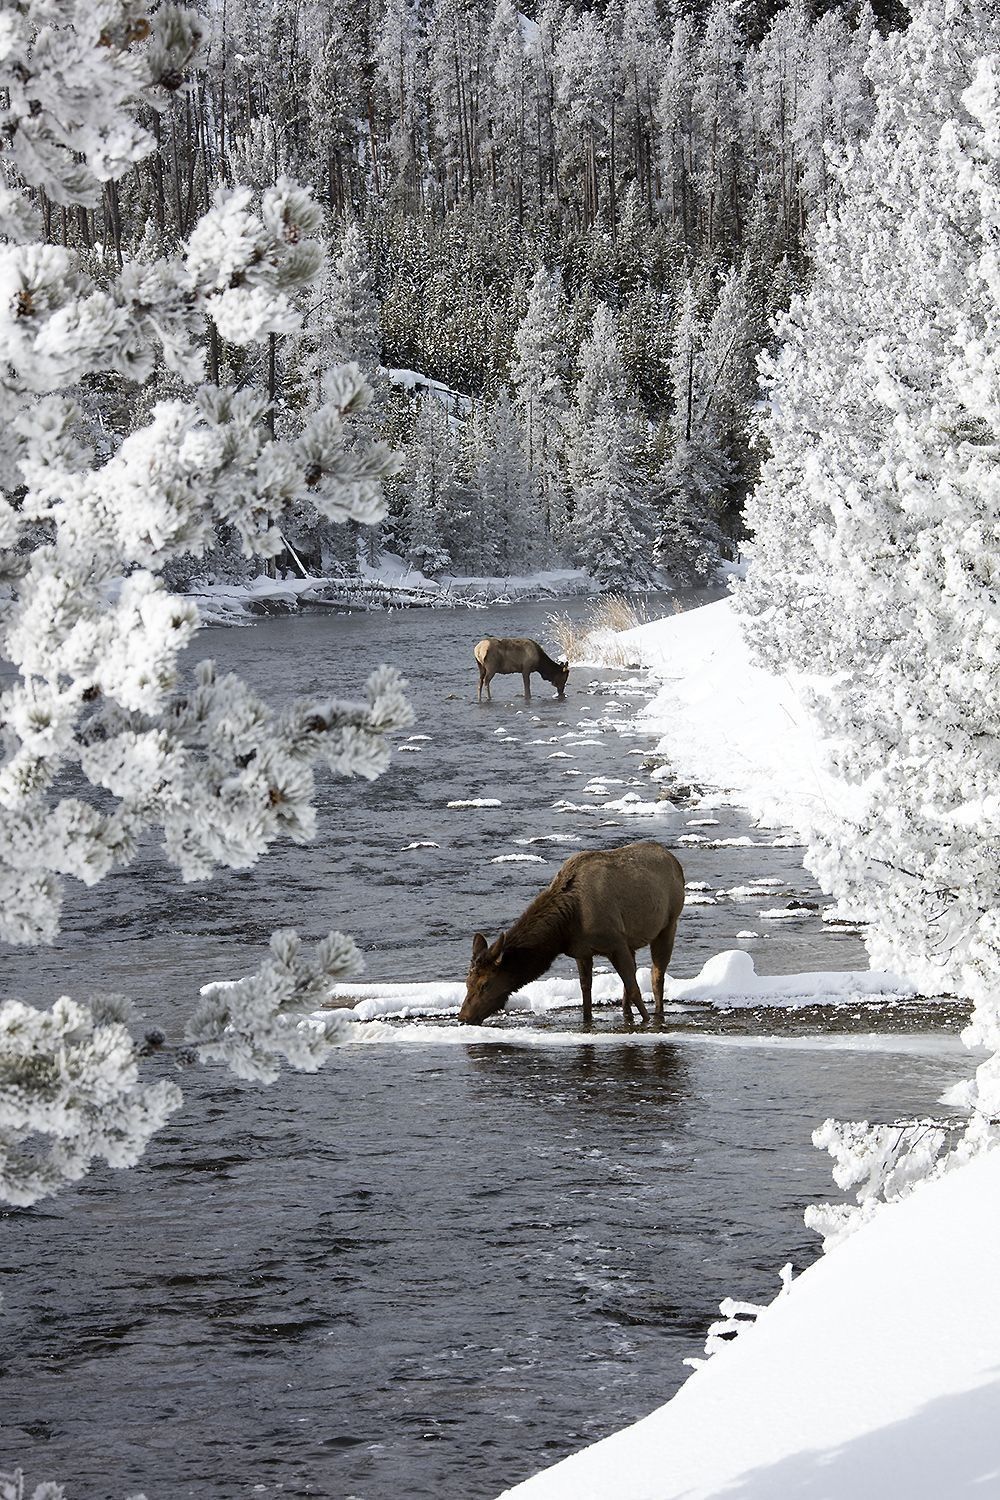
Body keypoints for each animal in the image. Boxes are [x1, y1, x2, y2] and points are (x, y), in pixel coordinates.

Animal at [459, 841, 685, 1027]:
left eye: (485, 984)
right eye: (467, 983)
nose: (463, 1017)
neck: (565, 927)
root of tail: (675, 862)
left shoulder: (616, 943)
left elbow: (634, 989)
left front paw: (647, 1021)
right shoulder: (582, 951)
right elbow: (586, 990)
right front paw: (587, 1020)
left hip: (668, 924)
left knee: (657, 975)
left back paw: (658, 1014)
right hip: (633, 940)